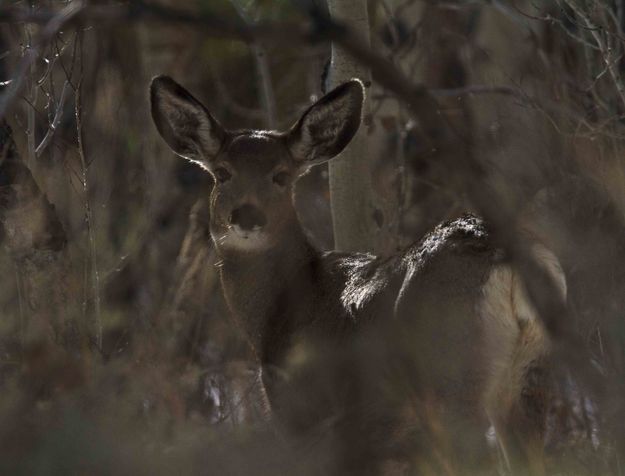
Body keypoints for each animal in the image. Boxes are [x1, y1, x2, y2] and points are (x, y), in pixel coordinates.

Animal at [151, 76, 564, 474]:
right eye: (223, 173)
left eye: (281, 176)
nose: (247, 216)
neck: (280, 310)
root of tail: (502, 257)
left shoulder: (307, 413)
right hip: (528, 375)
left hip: (451, 370)